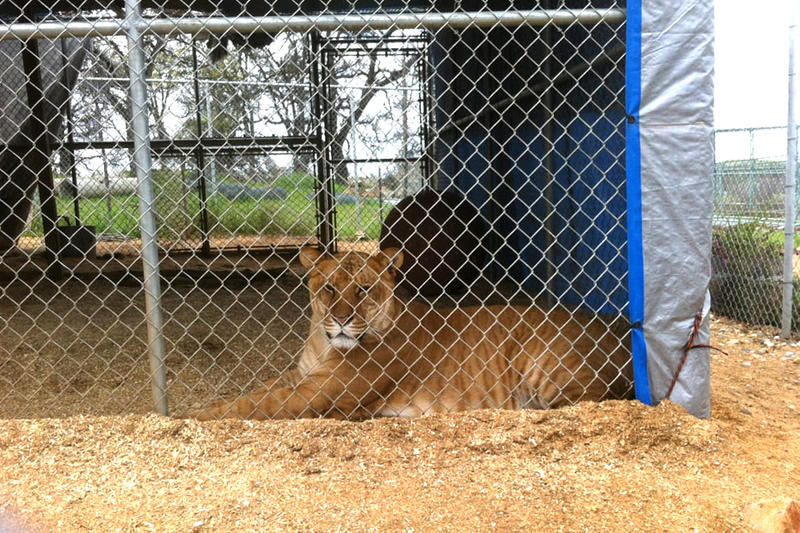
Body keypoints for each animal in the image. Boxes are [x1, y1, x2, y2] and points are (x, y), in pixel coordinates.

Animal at [197, 246, 636, 420]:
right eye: (330, 288)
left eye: (363, 289)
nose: (342, 319)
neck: (323, 343)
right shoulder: (303, 377)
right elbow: (256, 391)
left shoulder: (322, 392)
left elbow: (256, 406)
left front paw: (195, 416)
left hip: (542, 359)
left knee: (590, 405)